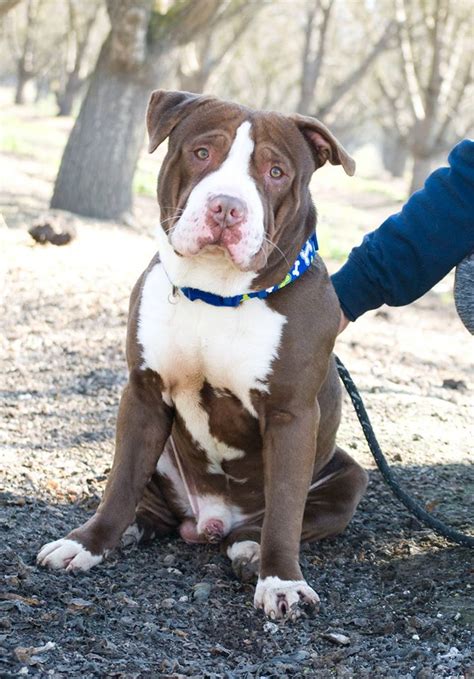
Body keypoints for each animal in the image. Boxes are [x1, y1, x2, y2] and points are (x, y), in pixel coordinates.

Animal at [38, 90, 370, 620]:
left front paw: (280, 581)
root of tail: (210, 521)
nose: (226, 208)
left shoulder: (292, 416)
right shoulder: (143, 395)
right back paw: (129, 532)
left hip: (350, 477)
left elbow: (285, 509)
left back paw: (249, 549)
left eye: (276, 172)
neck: (216, 294)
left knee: (276, 520)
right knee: (147, 502)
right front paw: (88, 543)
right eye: (201, 153)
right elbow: (119, 484)